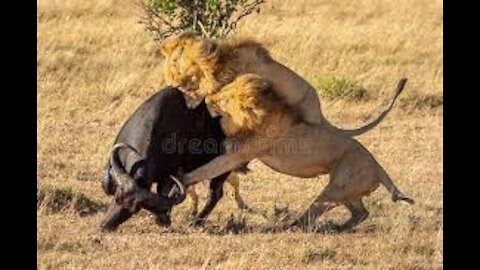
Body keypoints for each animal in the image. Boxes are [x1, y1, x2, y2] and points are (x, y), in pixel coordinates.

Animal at [170, 74, 412, 232]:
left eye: (224, 97)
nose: (207, 98)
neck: (264, 111)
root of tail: (378, 168)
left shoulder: (239, 152)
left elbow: (206, 169)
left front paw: (180, 181)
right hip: (347, 192)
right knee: (361, 213)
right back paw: (338, 228)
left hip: (336, 188)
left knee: (314, 214)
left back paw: (292, 226)